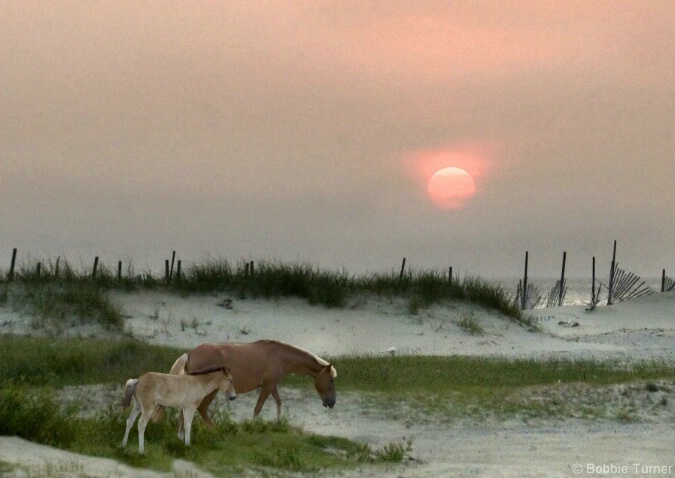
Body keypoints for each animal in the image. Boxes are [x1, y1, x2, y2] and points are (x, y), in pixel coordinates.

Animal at [157, 338, 338, 428]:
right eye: (331, 379)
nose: (332, 402)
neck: (279, 356)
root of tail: (190, 354)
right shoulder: (267, 387)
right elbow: (258, 408)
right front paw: (251, 425)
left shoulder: (271, 386)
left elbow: (279, 402)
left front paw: (278, 422)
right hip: (209, 390)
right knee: (201, 408)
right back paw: (215, 428)